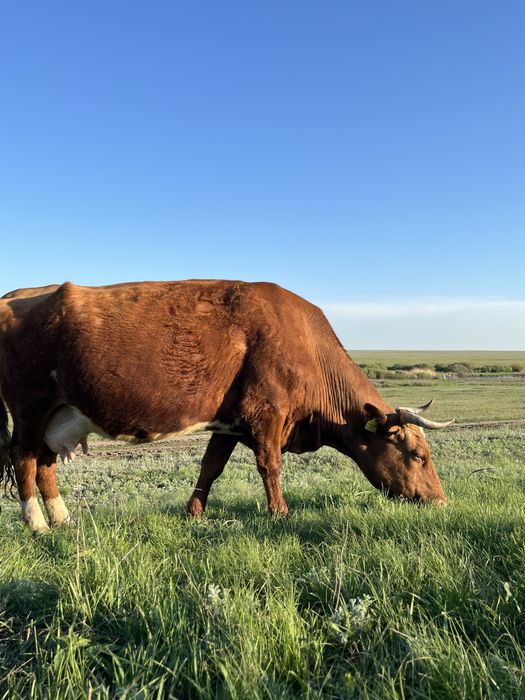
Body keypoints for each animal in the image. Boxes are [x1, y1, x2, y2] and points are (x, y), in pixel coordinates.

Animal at [0, 280, 453, 533]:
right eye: (418, 454)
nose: (441, 501)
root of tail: (16, 295)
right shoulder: (266, 415)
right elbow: (270, 466)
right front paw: (280, 514)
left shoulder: (228, 423)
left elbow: (210, 467)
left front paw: (194, 514)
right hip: (29, 409)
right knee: (23, 460)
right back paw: (38, 525)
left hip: (57, 418)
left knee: (45, 465)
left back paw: (62, 521)